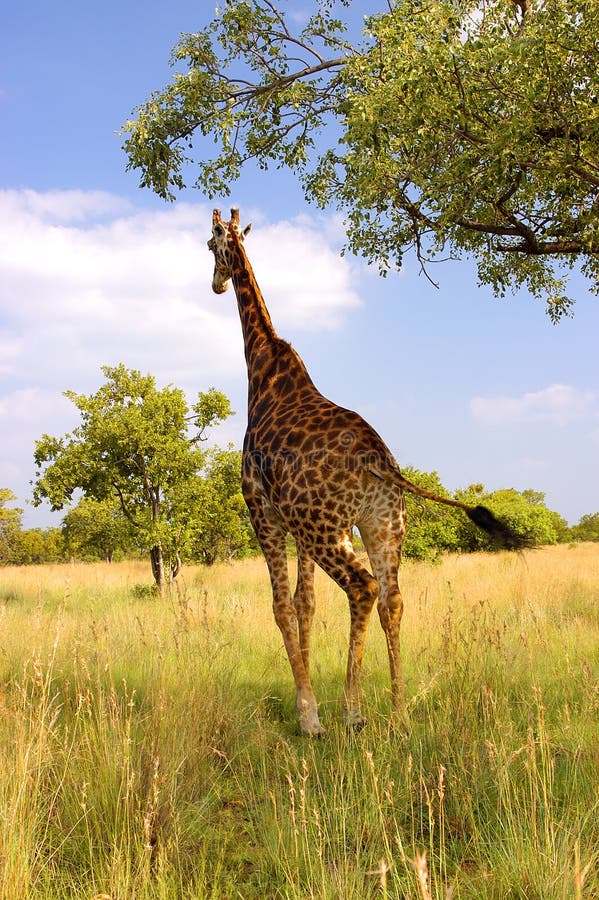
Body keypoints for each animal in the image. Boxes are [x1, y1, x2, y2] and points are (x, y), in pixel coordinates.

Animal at [207, 207, 527, 736]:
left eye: (209, 246)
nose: (214, 284)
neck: (262, 371)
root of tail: (379, 458)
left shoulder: (263, 510)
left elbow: (281, 605)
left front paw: (309, 715)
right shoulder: (296, 524)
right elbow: (305, 603)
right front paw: (308, 704)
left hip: (328, 528)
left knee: (363, 588)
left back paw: (352, 711)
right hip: (381, 523)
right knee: (392, 597)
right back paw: (399, 713)